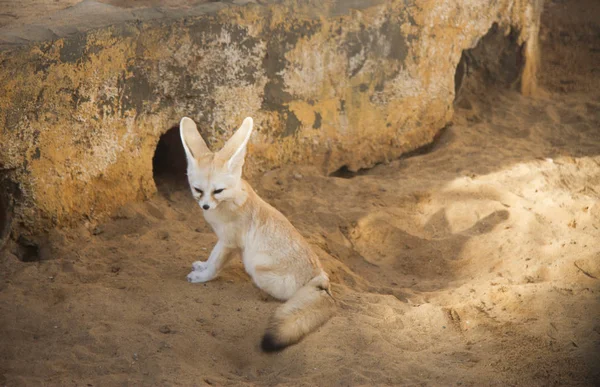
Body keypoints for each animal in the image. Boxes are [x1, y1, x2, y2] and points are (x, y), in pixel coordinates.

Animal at [180, 116, 336, 354]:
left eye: (218, 191)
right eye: (198, 190)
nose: (205, 206)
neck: (229, 201)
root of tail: (321, 279)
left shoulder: (231, 243)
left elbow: (216, 265)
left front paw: (202, 277)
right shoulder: (223, 240)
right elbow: (211, 257)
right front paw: (202, 266)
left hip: (257, 268)